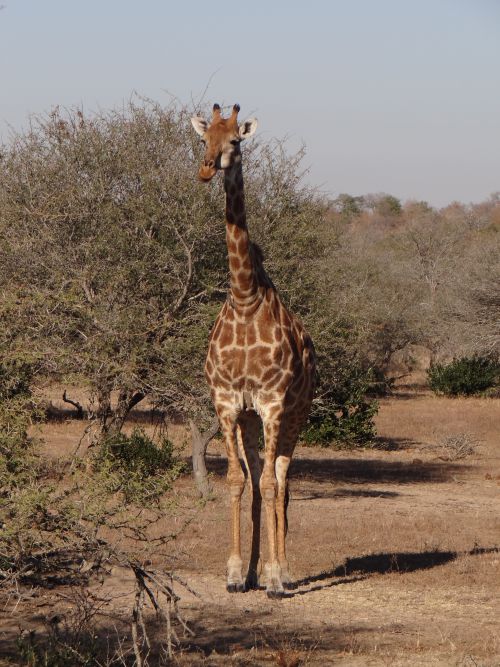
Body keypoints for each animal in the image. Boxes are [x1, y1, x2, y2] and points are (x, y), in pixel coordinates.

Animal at [191, 104, 316, 600]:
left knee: (280, 478)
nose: (207, 169)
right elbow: (236, 480)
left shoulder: (273, 402)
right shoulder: (229, 404)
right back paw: (255, 572)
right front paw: (233, 572)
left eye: (235, 141)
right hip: (250, 420)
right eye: (204, 139)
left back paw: (280, 574)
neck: (245, 299)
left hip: (296, 415)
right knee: (262, 479)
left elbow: (268, 480)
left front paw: (276, 578)